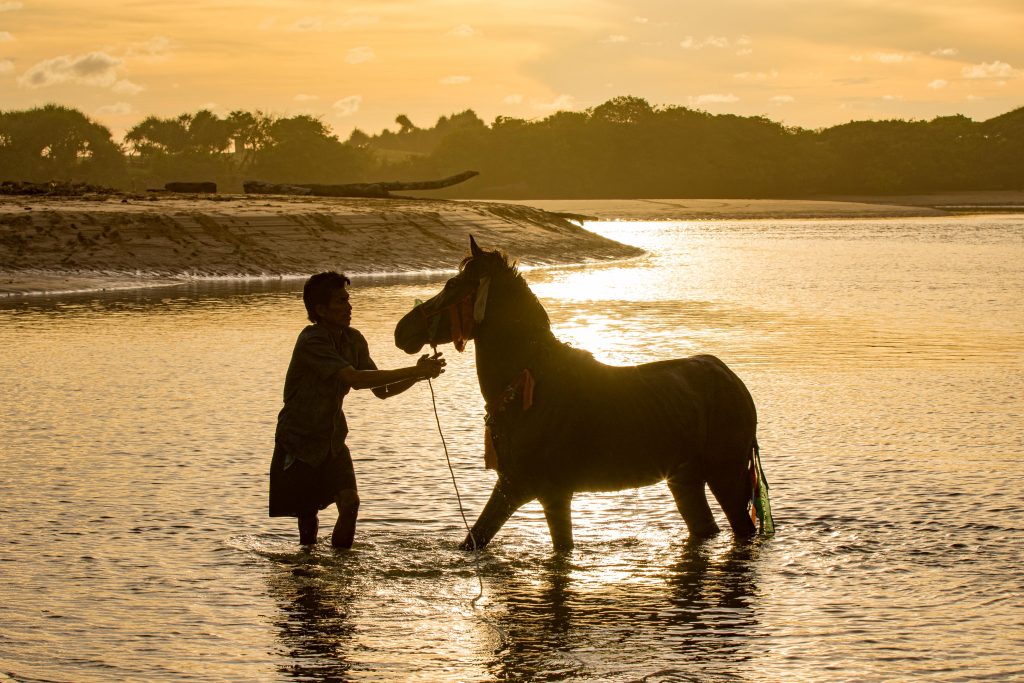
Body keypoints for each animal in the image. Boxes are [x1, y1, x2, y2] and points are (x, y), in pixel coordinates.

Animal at [391, 237, 770, 552]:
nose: (401, 331)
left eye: (453, 285)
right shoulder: (521, 488)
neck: (530, 389)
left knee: (742, 531)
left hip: (725, 474)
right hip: (684, 479)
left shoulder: (537, 491)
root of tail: (731, 378)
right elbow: (474, 543)